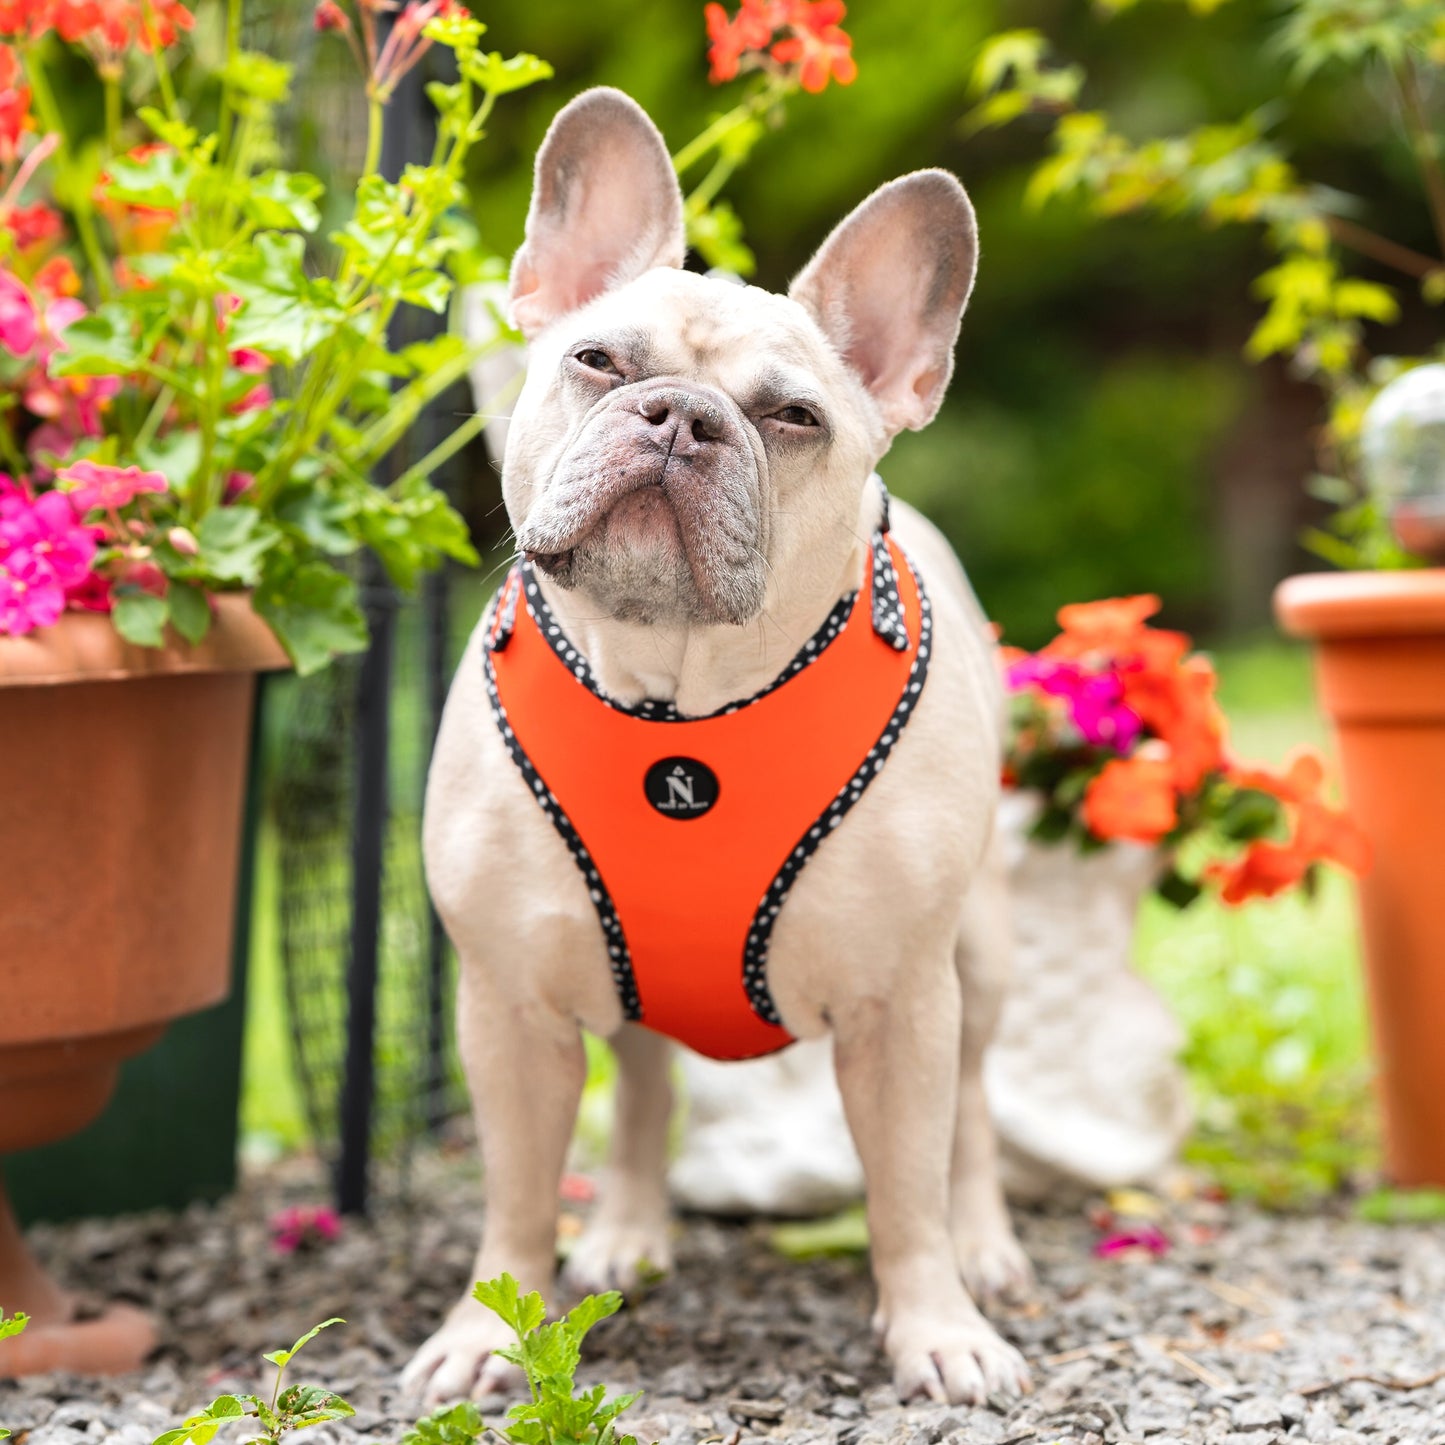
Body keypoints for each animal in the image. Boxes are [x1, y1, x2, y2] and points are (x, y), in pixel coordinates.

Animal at [407, 87, 1034, 1410]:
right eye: (597, 361)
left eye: (792, 417)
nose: (681, 418)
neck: (678, 705)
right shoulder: (508, 1006)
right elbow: (514, 1192)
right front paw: (489, 1328)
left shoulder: (903, 1002)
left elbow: (906, 1183)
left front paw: (935, 1324)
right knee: (646, 1086)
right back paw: (627, 1230)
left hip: (981, 952)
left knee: (969, 1112)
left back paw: (986, 1247)